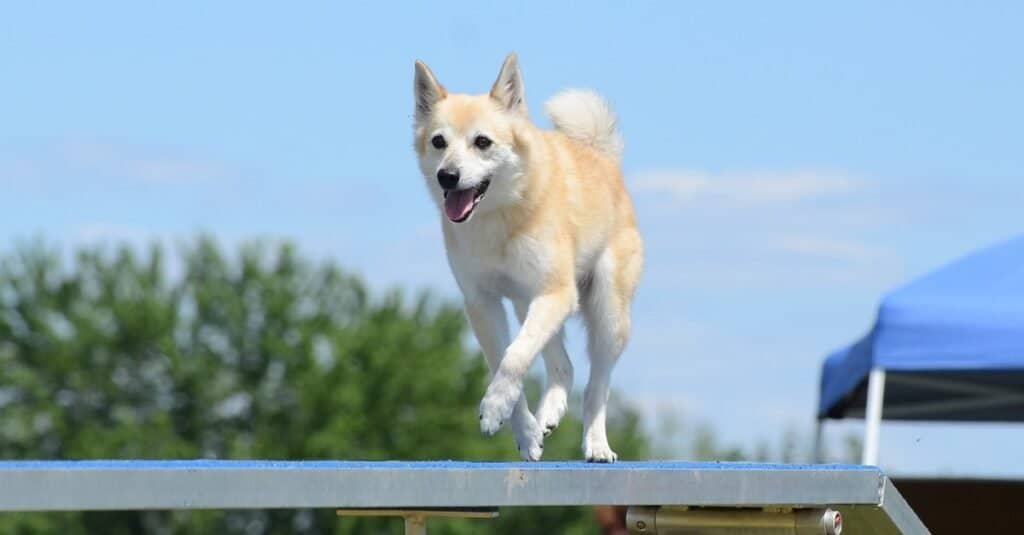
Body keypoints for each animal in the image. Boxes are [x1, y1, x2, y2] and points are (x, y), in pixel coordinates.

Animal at [411, 55, 643, 461]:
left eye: (482, 142)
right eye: (439, 142)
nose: (447, 176)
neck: (500, 215)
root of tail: (602, 157)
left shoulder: (554, 293)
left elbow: (514, 358)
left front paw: (492, 409)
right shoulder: (483, 303)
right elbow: (503, 361)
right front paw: (523, 430)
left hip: (606, 315)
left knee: (597, 387)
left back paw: (597, 445)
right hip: (527, 305)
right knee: (563, 366)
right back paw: (548, 415)